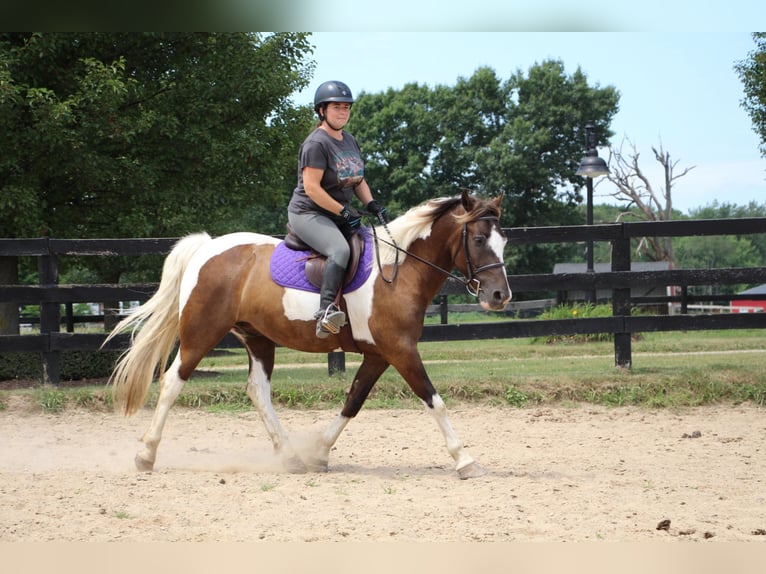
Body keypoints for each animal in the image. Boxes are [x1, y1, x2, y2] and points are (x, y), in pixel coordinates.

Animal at [102, 190, 510, 482]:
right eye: (477, 239)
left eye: (503, 241)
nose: (499, 296)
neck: (399, 271)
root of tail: (207, 246)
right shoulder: (401, 350)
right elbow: (434, 400)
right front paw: (465, 460)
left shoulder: (379, 354)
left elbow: (353, 401)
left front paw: (319, 453)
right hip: (201, 333)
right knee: (173, 382)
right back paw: (146, 455)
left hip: (258, 339)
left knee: (258, 391)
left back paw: (290, 457)